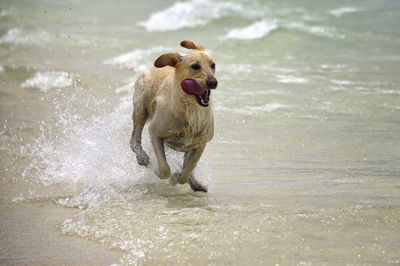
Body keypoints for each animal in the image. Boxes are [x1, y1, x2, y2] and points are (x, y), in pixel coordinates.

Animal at [130, 40, 219, 192]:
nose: (213, 82)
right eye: (195, 66)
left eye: (213, 65)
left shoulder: (200, 143)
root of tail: (150, 67)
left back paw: (195, 183)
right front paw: (163, 174)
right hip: (140, 109)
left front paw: (181, 177)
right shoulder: (155, 133)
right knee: (134, 140)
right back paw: (142, 157)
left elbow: (187, 170)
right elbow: (164, 169)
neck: (189, 109)